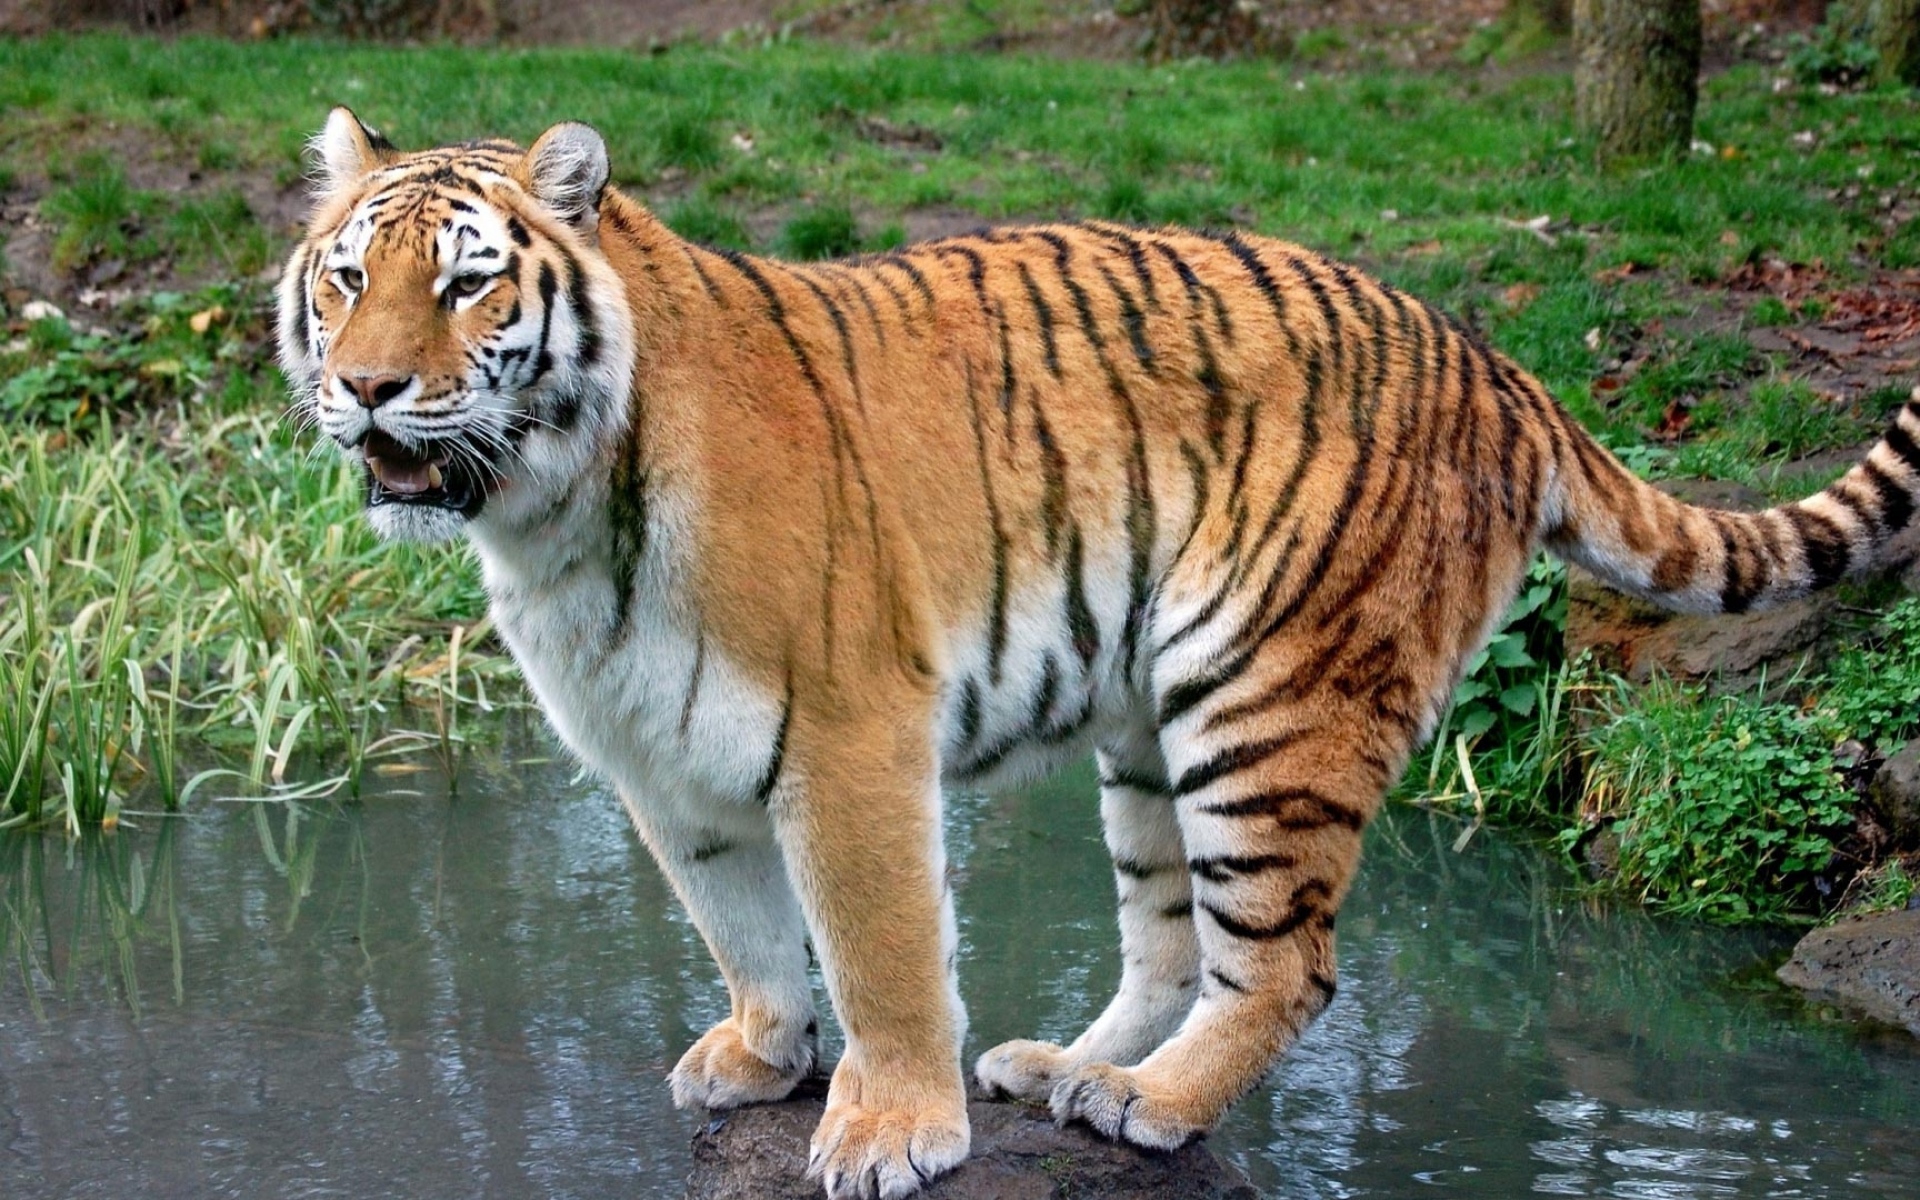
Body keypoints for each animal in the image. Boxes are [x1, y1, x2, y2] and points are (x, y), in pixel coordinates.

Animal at [277, 107, 1920, 1199]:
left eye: (471, 283)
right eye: (349, 279)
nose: (367, 389)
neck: (547, 514)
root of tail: (1495, 360)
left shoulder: (850, 736)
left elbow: (877, 949)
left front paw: (891, 1128)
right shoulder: (659, 759)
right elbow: (739, 928)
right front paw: (763, 1054)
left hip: (1269, 697)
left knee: (1286, 964)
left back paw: (1153, 1110)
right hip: (1149, 722)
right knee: (1173, 934)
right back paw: (1077, 1072)